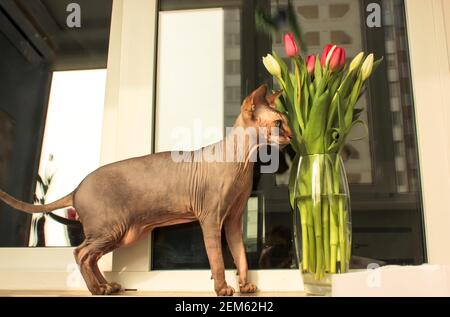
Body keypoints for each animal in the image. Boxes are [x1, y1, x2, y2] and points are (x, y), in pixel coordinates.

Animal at [0, 83, 294, 294]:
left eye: (287, 122)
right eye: (279, 124)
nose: (292, 136)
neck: (244, 162)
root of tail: (76, 188)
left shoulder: (233, 219)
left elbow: (240, 255)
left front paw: (245, 286)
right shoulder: (210, 218)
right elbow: (218, 260)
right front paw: (222, 288)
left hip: (118, 233)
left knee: (91, 257)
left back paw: (108, 286)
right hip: (111, 228)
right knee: (80, 253)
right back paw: (96, 289)